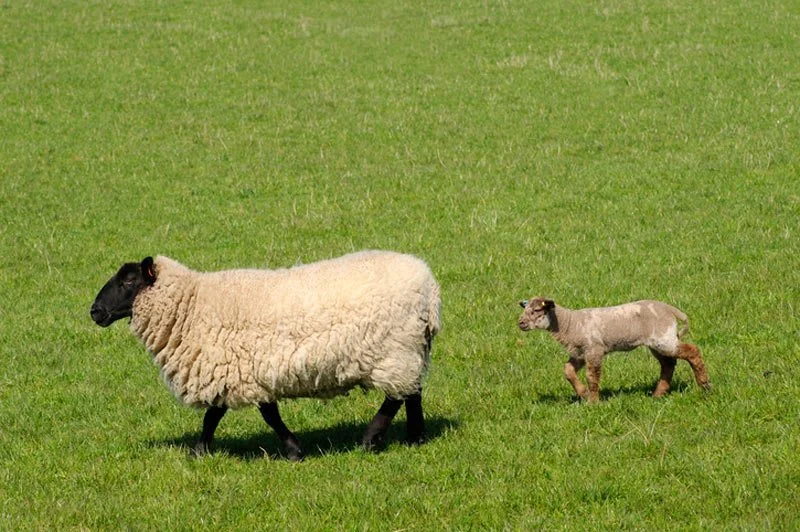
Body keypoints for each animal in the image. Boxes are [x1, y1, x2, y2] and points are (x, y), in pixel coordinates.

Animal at [90, 251, 441, 460]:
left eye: (129, 281)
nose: (95, 312)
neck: (191, 306)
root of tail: (429, 286)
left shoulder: (236, 370)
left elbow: (255, 415)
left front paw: (293, 451)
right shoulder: (238, 370)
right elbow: (221, 415)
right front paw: (201, 450)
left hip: (395, 350)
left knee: (395, 397)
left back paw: (370, 440)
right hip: (409, 350)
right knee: (413, 392)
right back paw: (416, 437)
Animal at [517, 297, 710, 402]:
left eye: (537, 310)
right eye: (525, 309)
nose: (520, 323)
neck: (569, 324)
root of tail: (670, 309)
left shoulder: (594, 349)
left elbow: (592, 376)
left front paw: (593, 401)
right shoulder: (580, 353)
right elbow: (568, 371)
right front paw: (583, 393)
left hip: (664, 339)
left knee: (692, 351)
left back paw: (705, 385)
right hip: (658, 342)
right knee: (668, 364)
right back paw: (658, 394)